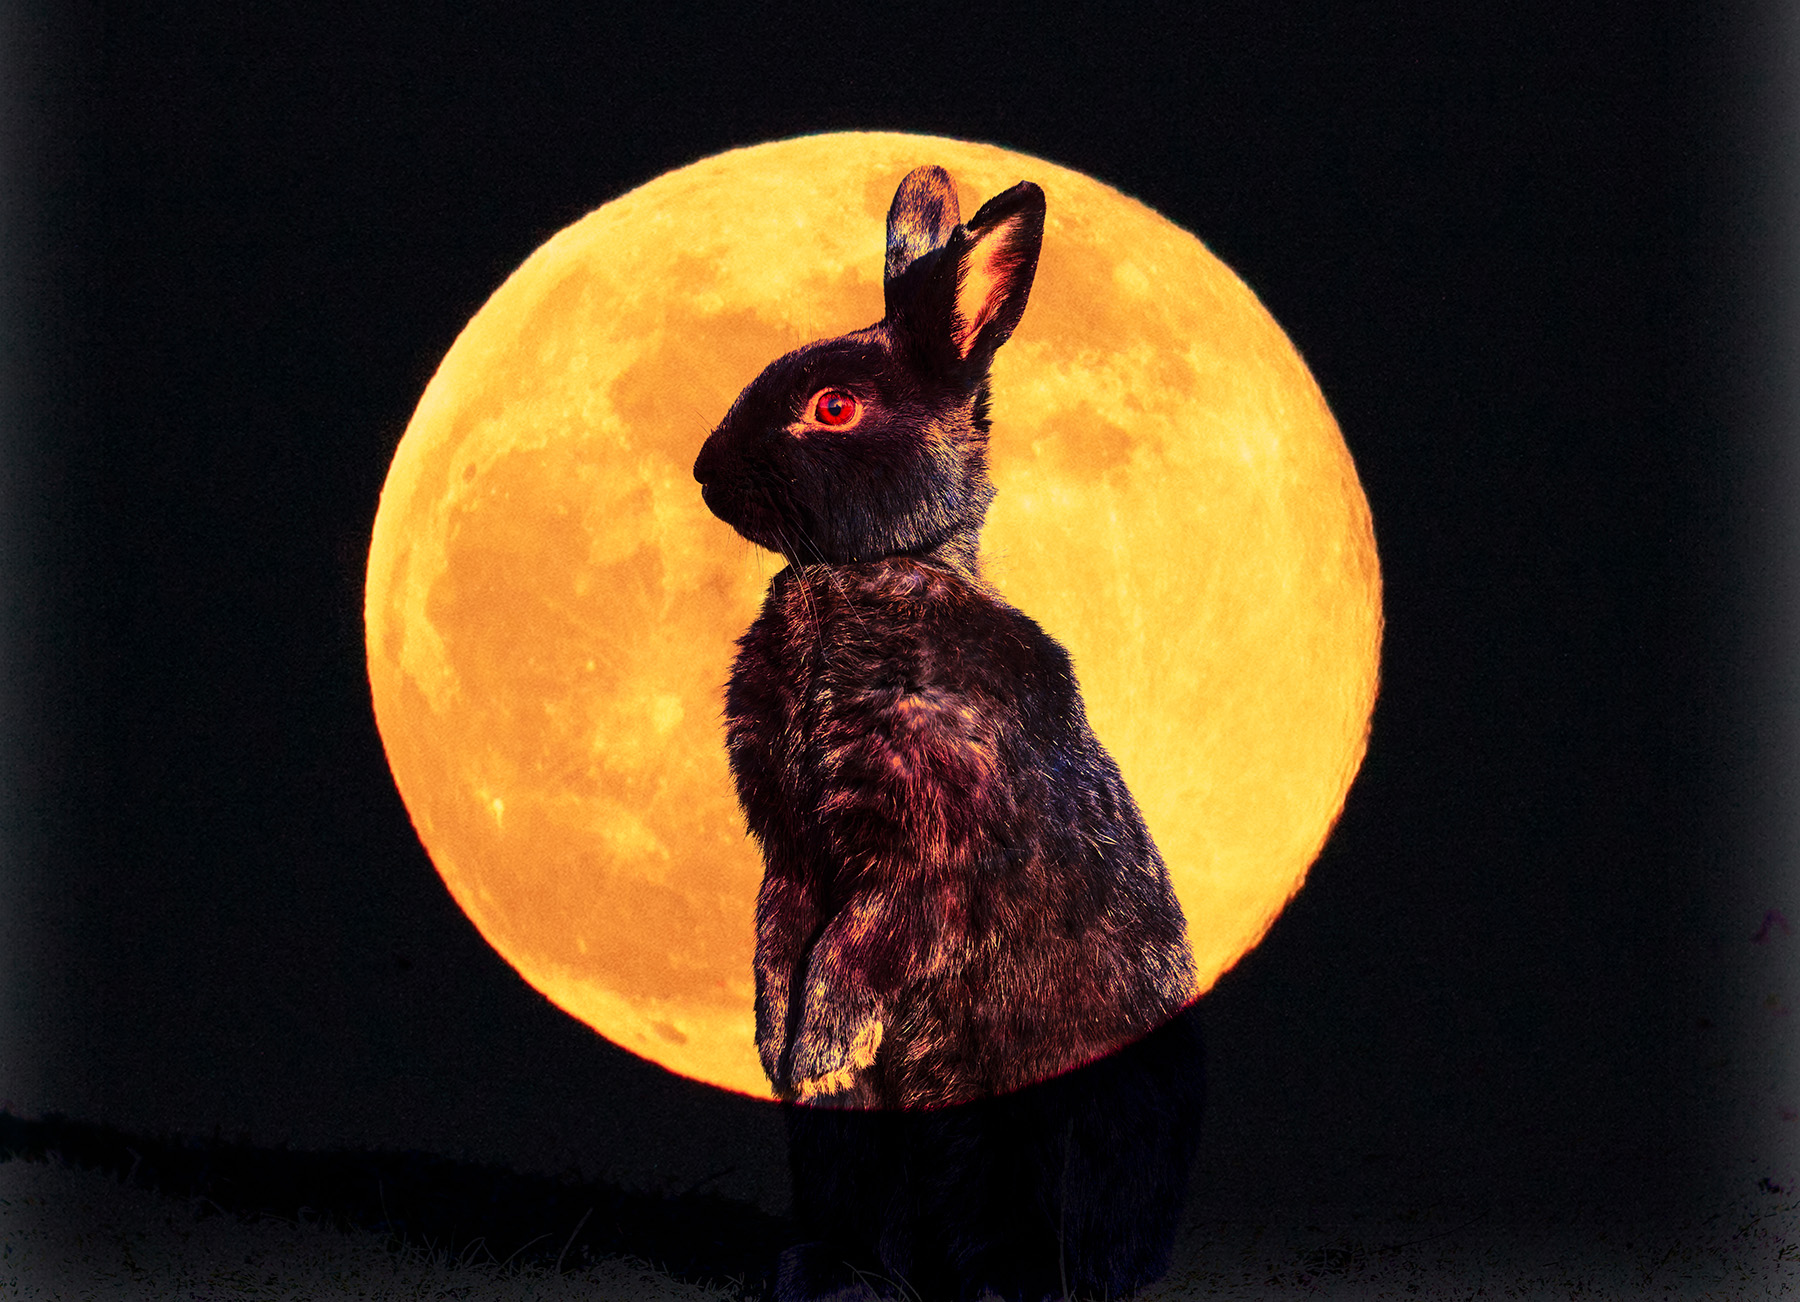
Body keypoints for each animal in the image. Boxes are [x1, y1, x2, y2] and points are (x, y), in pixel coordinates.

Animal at [692, 164, 1198, 1113]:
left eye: (834, 407)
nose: (704, 472)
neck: (857, 573)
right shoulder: (789, 851)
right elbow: (778, 936)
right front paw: (780, 1053)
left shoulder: (933, 851)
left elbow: (858, 944)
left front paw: (821, 1056)